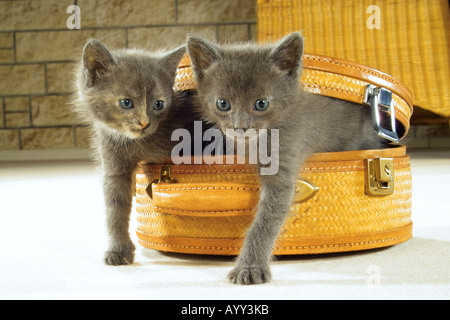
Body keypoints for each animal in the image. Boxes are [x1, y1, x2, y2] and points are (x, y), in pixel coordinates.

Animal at [72, 39, 192, 264]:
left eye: (158, 104)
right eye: (126, 103)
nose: (144, 123)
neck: (138, 142)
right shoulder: (113, 163)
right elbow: (115, 208)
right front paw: (118, 250)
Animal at [186, 32, 386, 284]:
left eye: (261, 104)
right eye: (223, 104)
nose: (241, 127)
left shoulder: (285, 161)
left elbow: (266, 220)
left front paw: (249, 267)